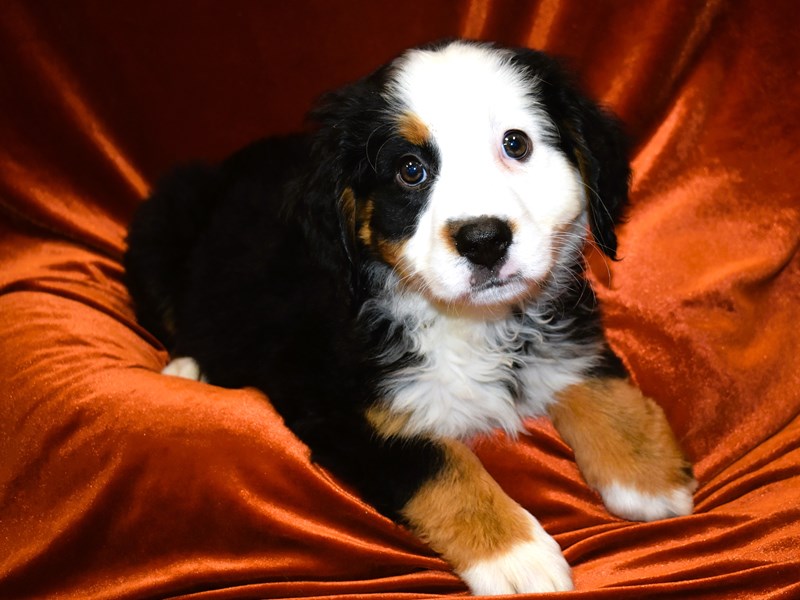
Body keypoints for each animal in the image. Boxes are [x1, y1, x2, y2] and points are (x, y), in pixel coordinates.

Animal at [123, 39, 692, 592]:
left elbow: (598, 384)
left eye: (516, 144)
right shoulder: (342, 410)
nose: (483, 241)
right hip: (164, 219)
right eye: (410, 170)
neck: (468, 321)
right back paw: (187, 369)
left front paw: (648, 475)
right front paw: (515, 556)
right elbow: (442, 467)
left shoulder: (568, 328)